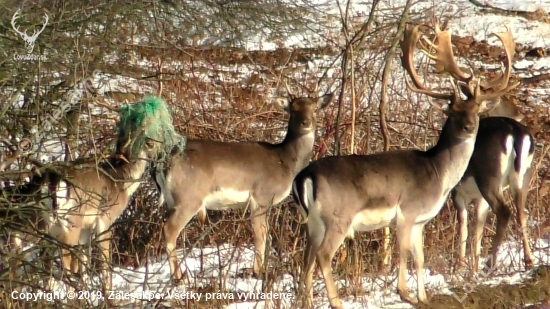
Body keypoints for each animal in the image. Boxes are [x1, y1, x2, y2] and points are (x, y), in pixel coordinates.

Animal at [155, 85, 336, 282]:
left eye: (315, 109)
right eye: (293, 109)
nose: (306, 123)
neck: (285, 161)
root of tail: (164, 163)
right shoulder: (261, 196)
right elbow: (261, 234)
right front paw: (258, 272)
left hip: (173, 200)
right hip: (189, 197)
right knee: (169, 229)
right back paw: (179, 277)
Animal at [294, 22, 520, 306]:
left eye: (477, 110)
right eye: (453, 112)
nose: (469, 127)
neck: (438, 172)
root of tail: (304, 177)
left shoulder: (421, 221)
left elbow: (420, 257)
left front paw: (423, 297)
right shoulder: (407, 211)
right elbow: (403, 252)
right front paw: (405, 293)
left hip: (314, 221)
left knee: (307, 257)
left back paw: (308, 302)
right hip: (338, 216)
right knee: (323, 255)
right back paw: (336, 302)